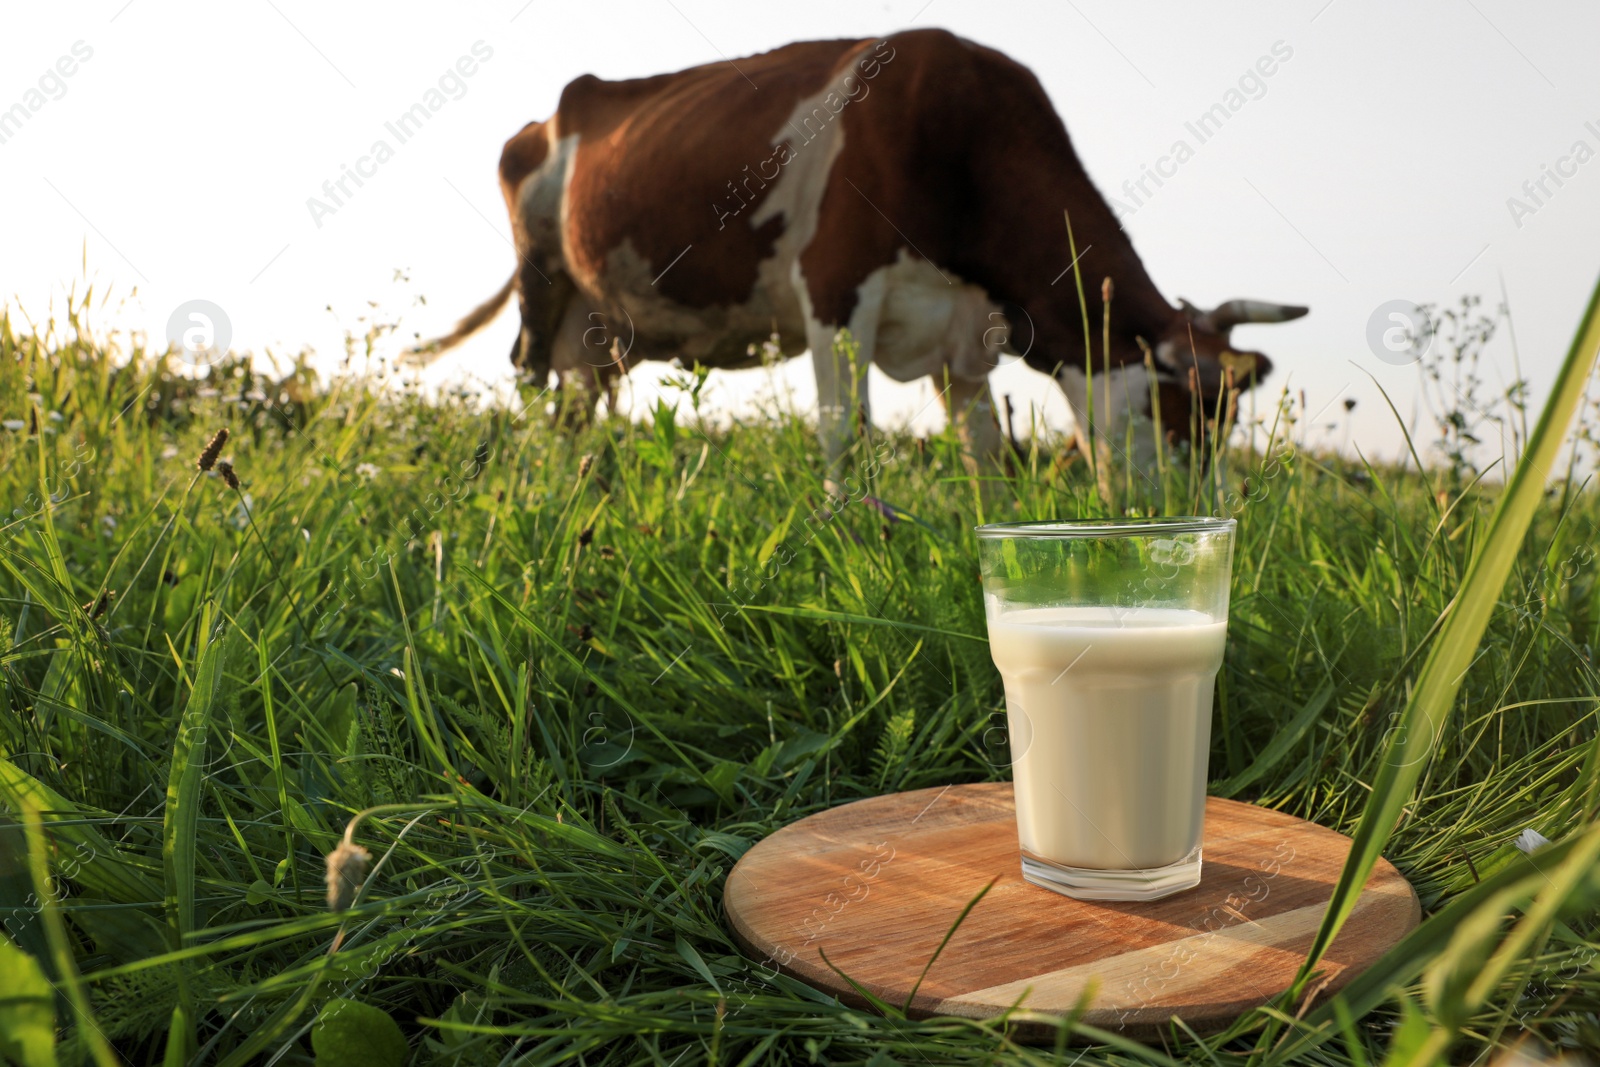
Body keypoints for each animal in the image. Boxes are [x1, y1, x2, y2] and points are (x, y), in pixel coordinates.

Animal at [419, 29, 1305, 489]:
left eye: (1230, 418)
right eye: (1188, 409)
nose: (1212, 514)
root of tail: (554, 111)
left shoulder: (965, 331)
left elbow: (983, 450)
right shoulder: (836, 287)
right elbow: (845, 430)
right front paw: (849, 537)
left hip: (603, 319)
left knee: (583, 396)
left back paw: (581, 483)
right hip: (543, 272)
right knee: (532, 374)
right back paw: (535, 481)